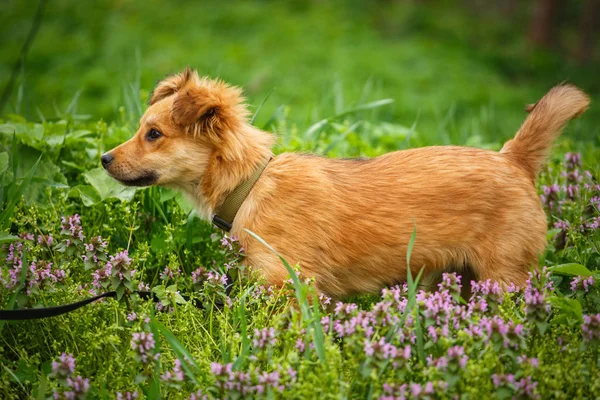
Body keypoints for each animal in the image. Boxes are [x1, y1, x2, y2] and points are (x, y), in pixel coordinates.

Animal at [101, 69, 588, 298]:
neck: (250, 186)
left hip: (504, 279)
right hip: (464, 281)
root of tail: (513, 159)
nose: (103, 159)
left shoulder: (292, 288)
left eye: (153, 134)